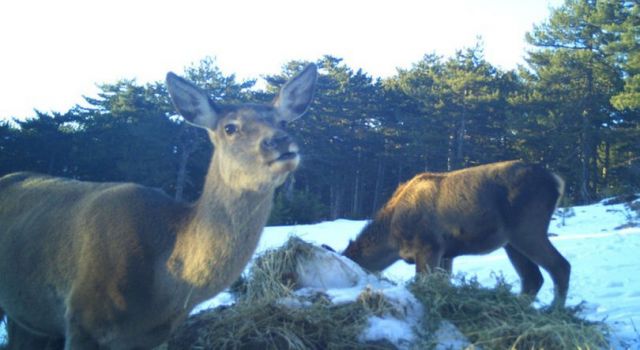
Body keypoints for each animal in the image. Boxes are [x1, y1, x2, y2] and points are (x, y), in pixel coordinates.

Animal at [344, 160, 568, 308]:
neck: (392, 239)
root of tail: (557, 181)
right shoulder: (447, 253)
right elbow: (444, 282)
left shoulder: (429, 246)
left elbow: (423, 282)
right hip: (511, 243)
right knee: (533, 279)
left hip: (528, 229)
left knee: (560, 266)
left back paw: (555, 311)